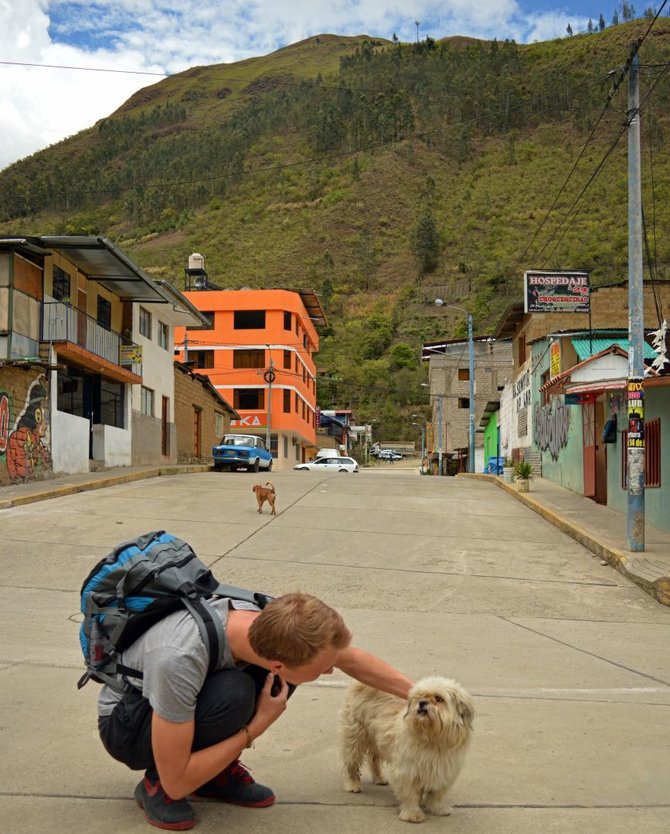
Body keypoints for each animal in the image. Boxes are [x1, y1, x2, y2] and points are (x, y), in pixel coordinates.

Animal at [342, 676, 478, 820]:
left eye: (439, 699)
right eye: (420, 696)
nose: (422, 703)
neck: (433, 739)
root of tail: (360, 684)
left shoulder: (443, 771)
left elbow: (436, 794)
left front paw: (436, 808)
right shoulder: (407, 771)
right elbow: (410, 794)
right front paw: (412, 813)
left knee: (374, 760)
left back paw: (379, 778)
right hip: (354, 739)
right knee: (351, 764)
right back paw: (353, 784)